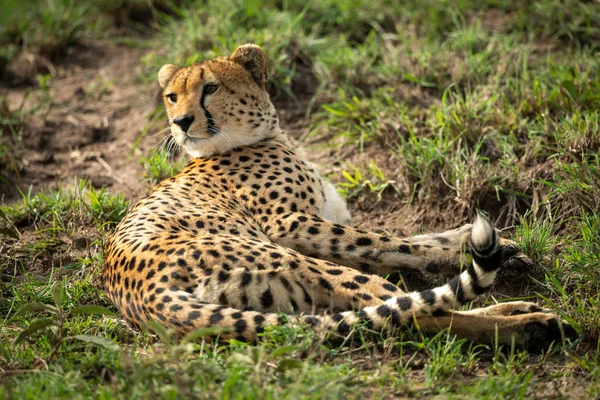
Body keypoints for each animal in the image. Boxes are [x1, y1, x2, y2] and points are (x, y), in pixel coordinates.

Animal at [104, 43, 576, 350]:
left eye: (211, 89)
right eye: (171, 96)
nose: (180, 122)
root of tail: (140, 294)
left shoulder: (325, 225)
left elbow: (408, 240)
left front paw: (486, 242)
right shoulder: (290, 224)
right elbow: (390, 242)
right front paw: (468, 252)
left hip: (287, 299)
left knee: (394, 316)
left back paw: (519, 315)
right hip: (284, 256)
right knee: (408, 309)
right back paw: (527, 323)